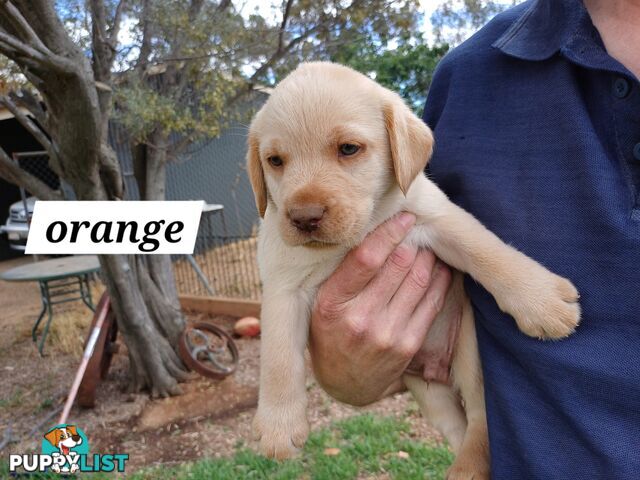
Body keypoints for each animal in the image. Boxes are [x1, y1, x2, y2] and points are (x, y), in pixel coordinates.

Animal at [246, 62, 580, 478]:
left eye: (348, 149)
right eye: (275, 161)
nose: (304, 217)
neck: (361, 231)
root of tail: (437, 370)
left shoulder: (436, 218)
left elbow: (488, 252)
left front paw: (543, 301)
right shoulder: (282, 285)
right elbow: (277, 358)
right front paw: (278, 426)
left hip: (470, 355)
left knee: (481, 419)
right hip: (429, 393)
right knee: (459, 427)